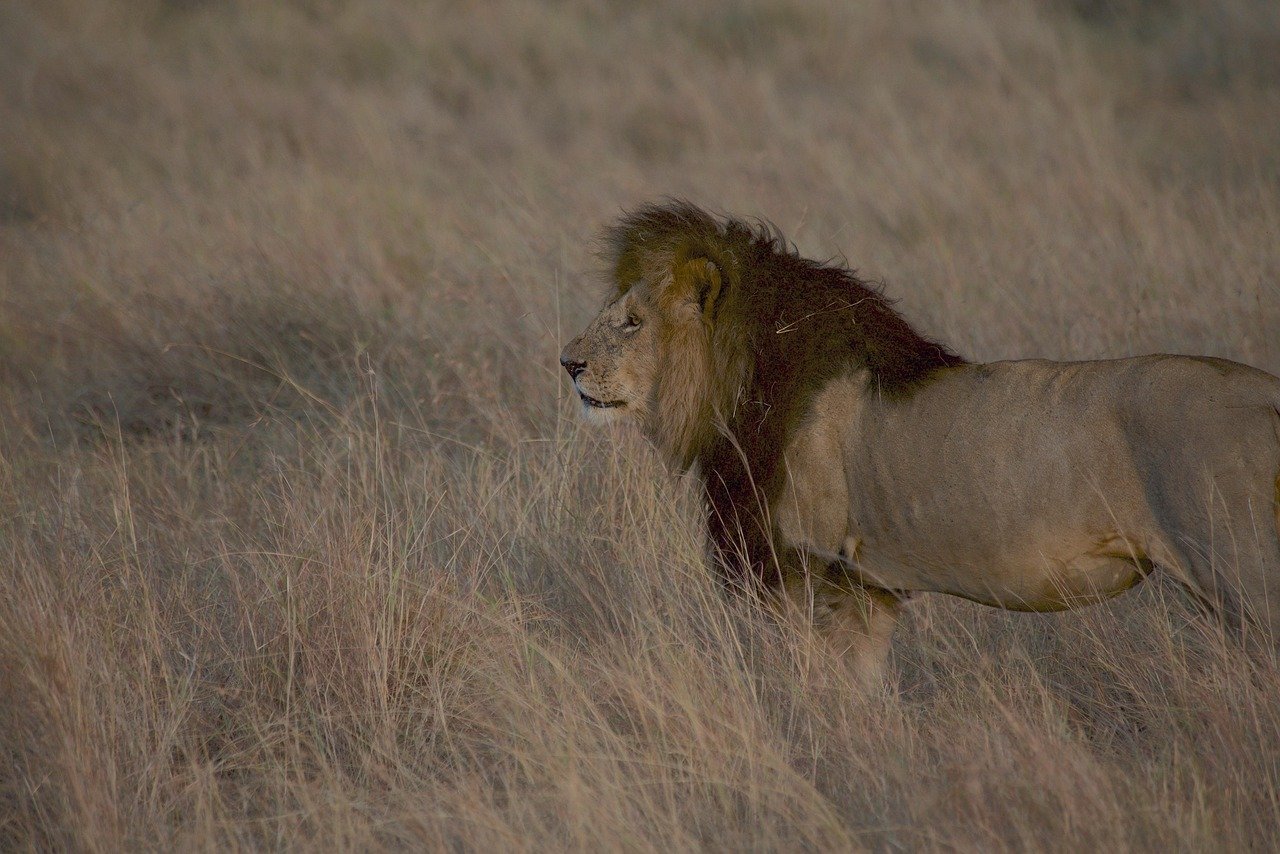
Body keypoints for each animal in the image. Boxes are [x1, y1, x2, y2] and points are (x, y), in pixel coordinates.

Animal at [559, 200, 1280, 679]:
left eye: (631, 321)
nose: (567, 363)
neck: (738, 385)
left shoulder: (812, 574)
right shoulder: (866, 592)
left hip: (1245, 577)